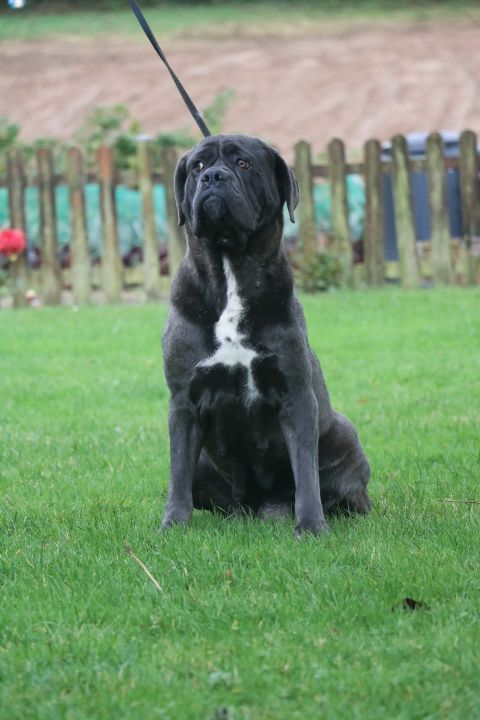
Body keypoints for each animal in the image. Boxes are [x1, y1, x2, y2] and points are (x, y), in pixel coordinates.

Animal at [161, 134, 372, 536]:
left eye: (243, 164)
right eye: (197, 166)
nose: (213, 177)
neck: (231, 269)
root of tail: (261, 507)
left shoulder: (297, 396)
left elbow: (305, 472)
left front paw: (311, 527)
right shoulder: (183, 401)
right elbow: (177, 472)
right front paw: (173, 525)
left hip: (345, 434)